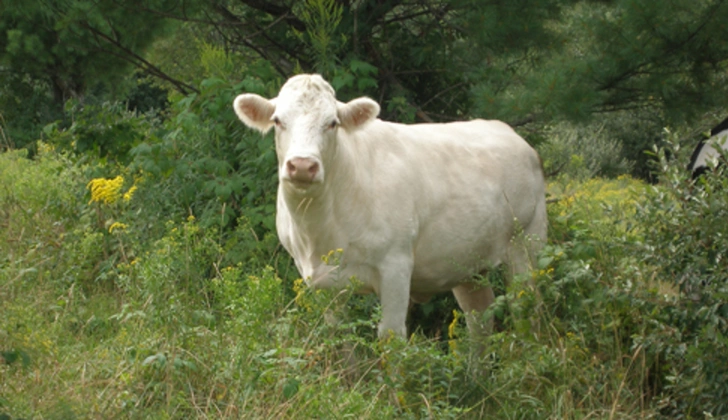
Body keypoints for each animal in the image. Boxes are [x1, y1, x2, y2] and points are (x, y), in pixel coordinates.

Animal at [233, 74, 544, 340]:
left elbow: (391, 337)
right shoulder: (317, 281)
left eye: (332, 122)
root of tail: (511, 134)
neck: (319, 230)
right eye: (277, 121)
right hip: (467, 261)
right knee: (479, 317)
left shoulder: (396, 265)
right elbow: (340, 340)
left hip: (526, 241)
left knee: (525, 308)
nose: (301, 165)